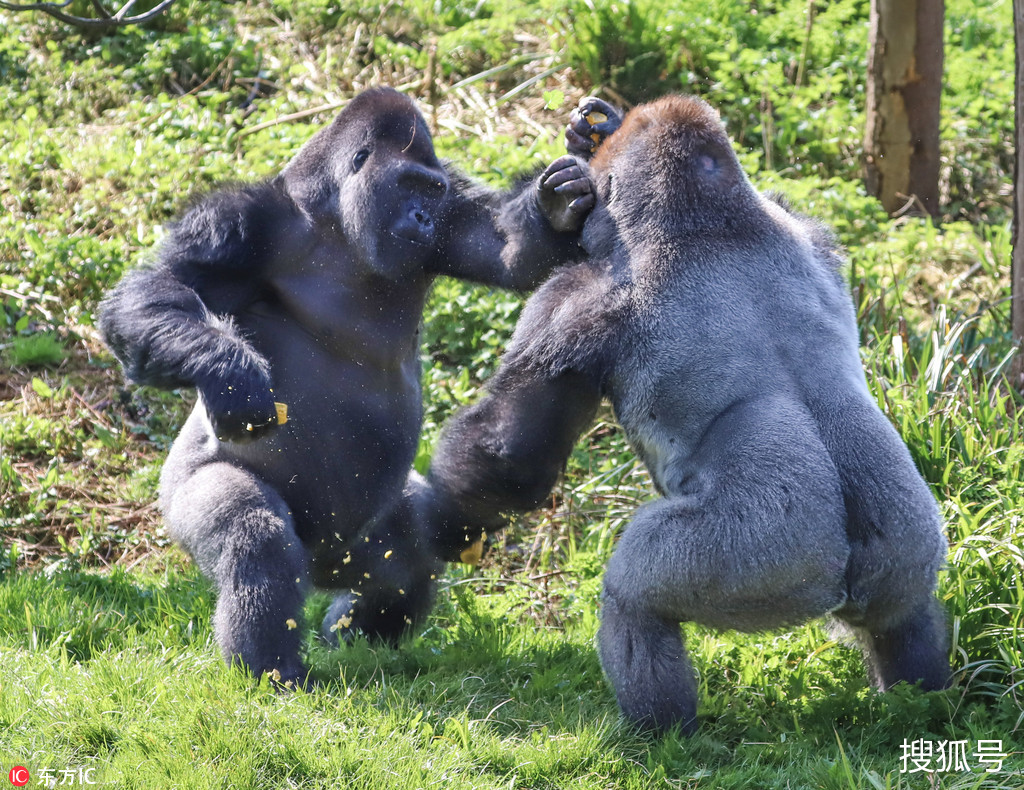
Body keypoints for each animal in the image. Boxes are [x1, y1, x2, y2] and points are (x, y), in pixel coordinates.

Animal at [97, 86, 593, 684]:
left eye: (431, 191)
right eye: (408, 184)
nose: (422, 217)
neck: (334, 218)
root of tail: (317, 567)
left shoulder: (453, 213)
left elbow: (510, 250)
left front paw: (558, 203)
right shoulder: (238, 222)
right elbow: (155, 291)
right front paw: (229, 371)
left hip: (357, 547)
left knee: (407, 558)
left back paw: (358, 642)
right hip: (179, 497)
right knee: (255, 537)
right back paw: (273, 670)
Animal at [419, 95, 946, 733]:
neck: (711, 220)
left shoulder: (572, 303)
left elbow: (510, 456)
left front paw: (434, 522)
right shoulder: (807, 228)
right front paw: (588, 137)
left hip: (769, 557)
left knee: (634, 599)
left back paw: (659, 731)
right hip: (908, 544)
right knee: (907, 612)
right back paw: (921, 703)